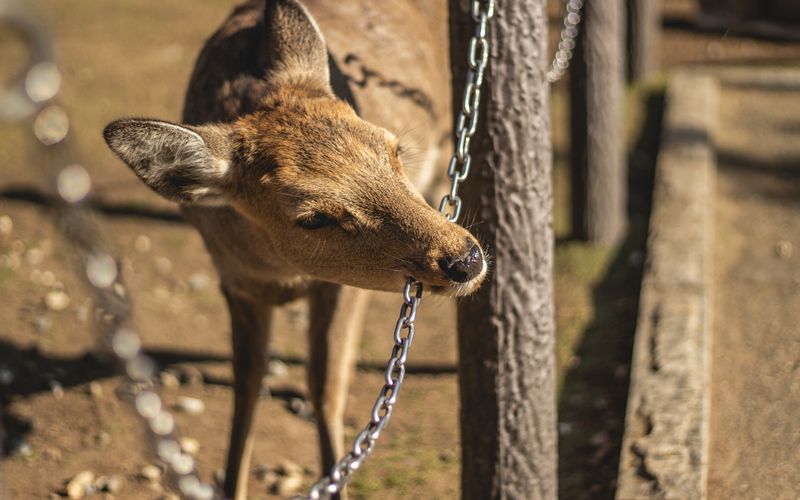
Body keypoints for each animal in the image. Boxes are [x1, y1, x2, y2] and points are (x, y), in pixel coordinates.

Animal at [102, 1, 487, 498]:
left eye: (394, 150)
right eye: (313, 218)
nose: (465, 258)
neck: (282, 273)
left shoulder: (340, 288)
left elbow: (326, 387)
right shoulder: (235, 282)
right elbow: (247, 381)